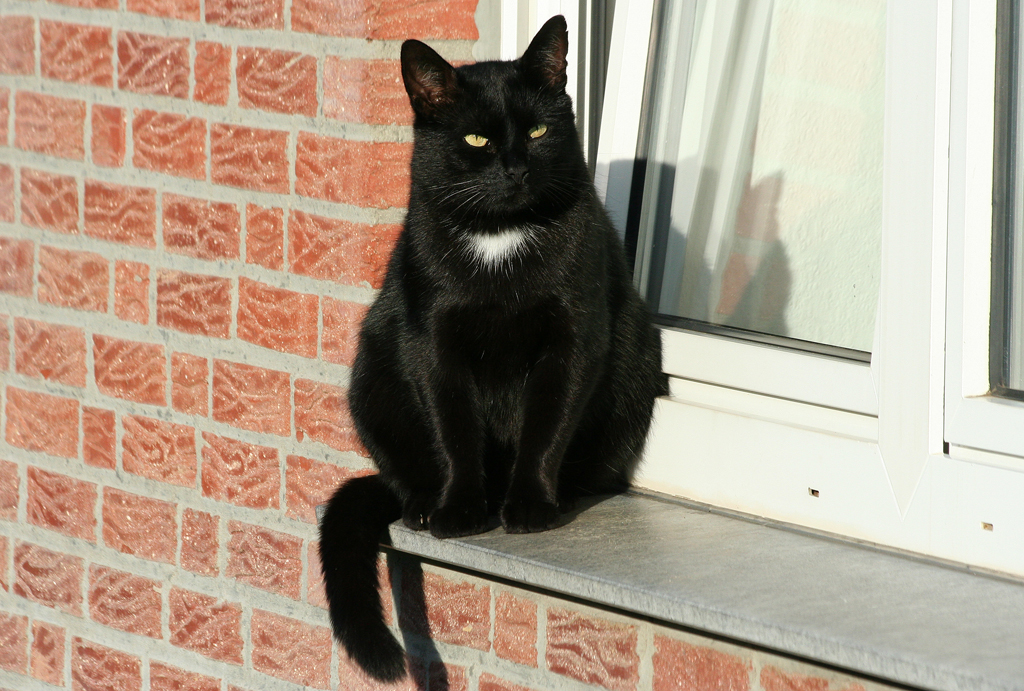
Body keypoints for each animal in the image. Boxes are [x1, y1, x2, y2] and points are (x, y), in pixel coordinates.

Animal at [321, 16, 671, 679]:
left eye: (537, 130)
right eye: (478, 138)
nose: (515, 169)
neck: (499, 240)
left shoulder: (574, 337)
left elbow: (547, 424)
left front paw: (529, 505)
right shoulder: (433, 342)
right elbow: (455, 429)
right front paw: (460, 510)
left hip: (637, 359)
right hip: (372, 371)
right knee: (405, 471)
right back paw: (424, 505)